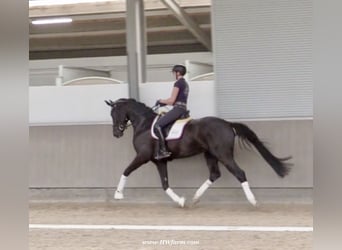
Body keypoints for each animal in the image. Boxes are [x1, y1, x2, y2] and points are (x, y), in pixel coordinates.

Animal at [105, 98, 292, 207]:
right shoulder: (160, 161)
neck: (144, 124)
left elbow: (126, 170)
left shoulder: (142, 156)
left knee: (240, 173)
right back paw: (195, 197)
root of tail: (227, 123)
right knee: (215, 174)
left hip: (223, 155)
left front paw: (118, 194)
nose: (116, 133)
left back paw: (252, 201)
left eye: (114, 113)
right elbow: (165, 184)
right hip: (210, 155)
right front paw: (180, 201)